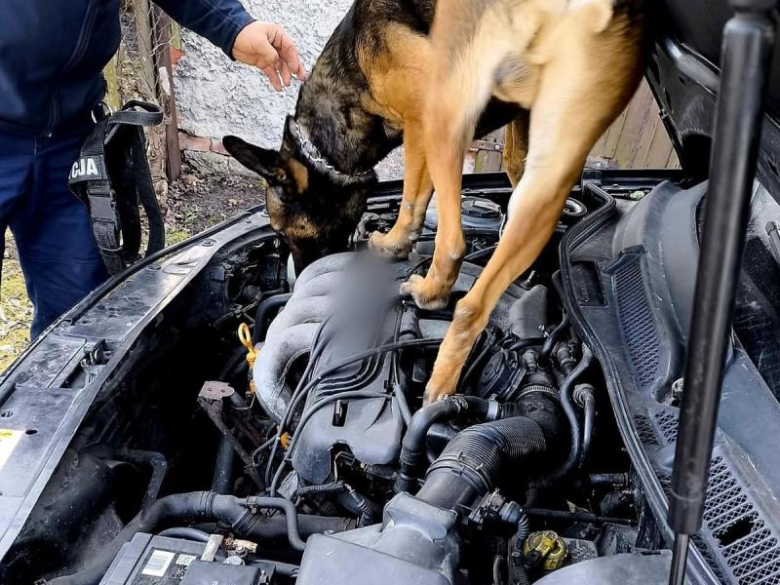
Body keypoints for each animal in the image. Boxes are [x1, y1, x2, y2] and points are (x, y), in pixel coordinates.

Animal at [222, 0, 644, 402]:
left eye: (282, 231)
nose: (298, 279)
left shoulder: (419, 118)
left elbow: (412, 196)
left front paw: (394, 243)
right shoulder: (502, 124)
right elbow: (463, 178)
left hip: (447, 118)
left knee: (456, 251)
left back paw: (433, 300)